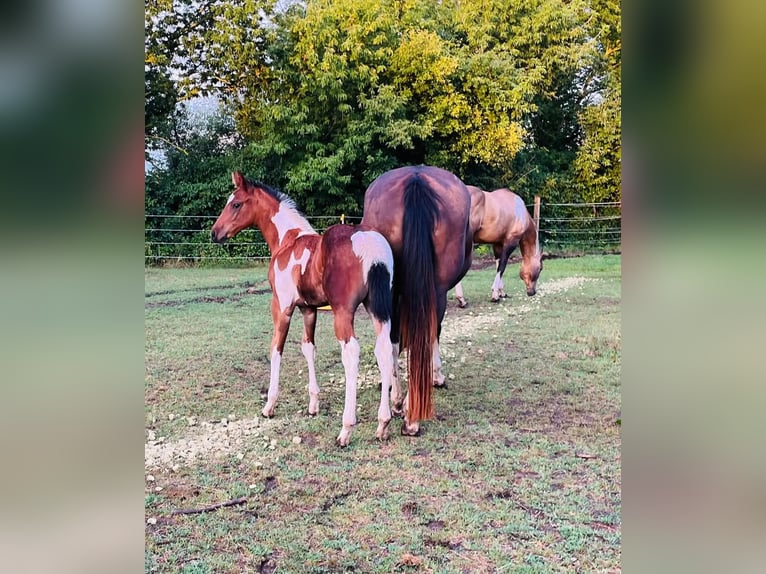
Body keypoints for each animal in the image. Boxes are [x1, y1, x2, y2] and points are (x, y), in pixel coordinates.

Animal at [213, 169, 400, 448]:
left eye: (235, 204)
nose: (215, 233)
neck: (288, 241)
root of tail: (371, 248)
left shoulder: (282, 307)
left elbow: (276, 349)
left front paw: (269, 405)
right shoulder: (308, 309)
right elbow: (308, 348)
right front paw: (313, 405)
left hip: (344, 312)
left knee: (351, 352)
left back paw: (346, 429)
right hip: (379, 308)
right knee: (385, 348)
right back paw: (383, 423)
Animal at [360, 166, 474, 436]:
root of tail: (416, 178)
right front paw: (437, 376)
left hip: (393, 289)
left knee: (394, 339)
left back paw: (400, 403)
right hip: (436, 291)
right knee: (425, 334)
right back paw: (410, 414)